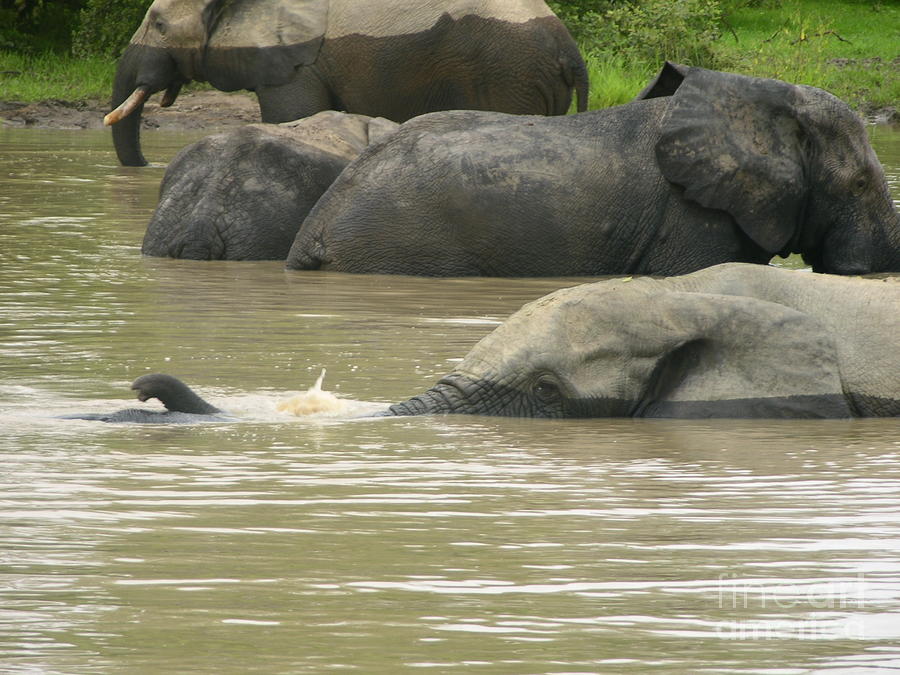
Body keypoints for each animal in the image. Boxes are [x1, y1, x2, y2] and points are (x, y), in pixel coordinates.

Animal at [105, 0, 588, 166]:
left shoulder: (297, 59)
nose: (147, 166)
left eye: (159, 24)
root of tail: (570, 50)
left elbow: (293, 118)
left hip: (507, 75)